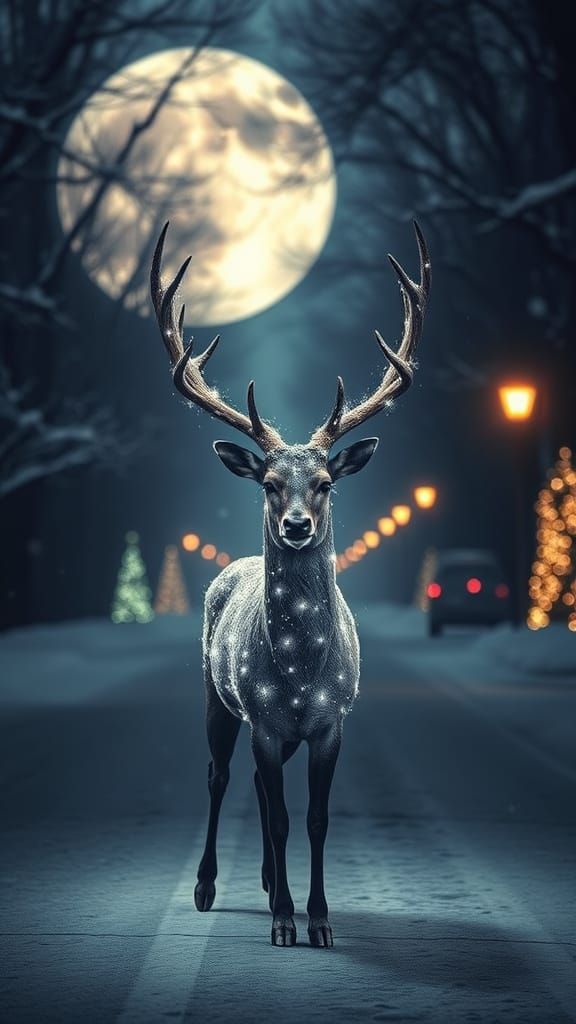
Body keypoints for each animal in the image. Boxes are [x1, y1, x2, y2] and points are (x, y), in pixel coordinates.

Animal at [150, 220, 430, 947]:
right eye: (270, 483)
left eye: (326, 481)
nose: (298, 525)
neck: (302, 677)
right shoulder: (265, 717)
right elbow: (276, 816)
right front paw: (283, 922)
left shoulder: (332, 722)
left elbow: (315, 818)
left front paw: (320, 919)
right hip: (218, 696)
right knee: (221, 775)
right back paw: (209, 886)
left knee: (251, 783)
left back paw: (266, 882)